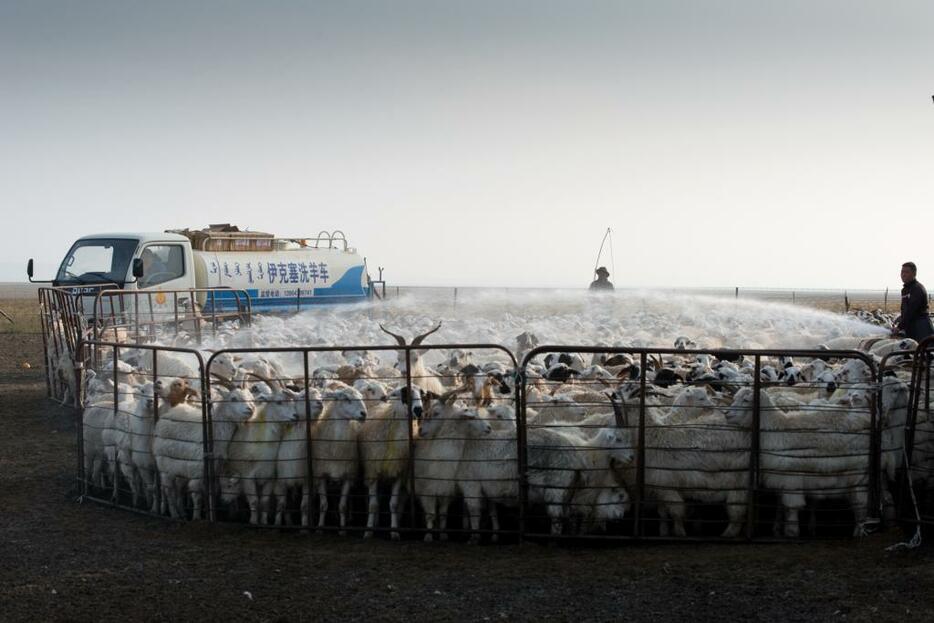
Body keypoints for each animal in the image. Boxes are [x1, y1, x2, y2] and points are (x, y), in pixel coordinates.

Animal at [308, 388, 364, 532]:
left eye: (362, 397)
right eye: (346, 398)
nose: (364, 414)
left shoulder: (348, 476)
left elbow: (342, 506)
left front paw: (343, 529)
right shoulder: (321, 475)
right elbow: (324, 505)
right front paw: (320, 527)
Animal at [360, 388, 426, 540]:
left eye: (421, 394)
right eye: (405, 392)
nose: (419, 410)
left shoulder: (398, 473)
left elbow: (394, 504)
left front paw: (394, 531)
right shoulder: (373, 473)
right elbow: (373, 505)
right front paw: (368, 531)